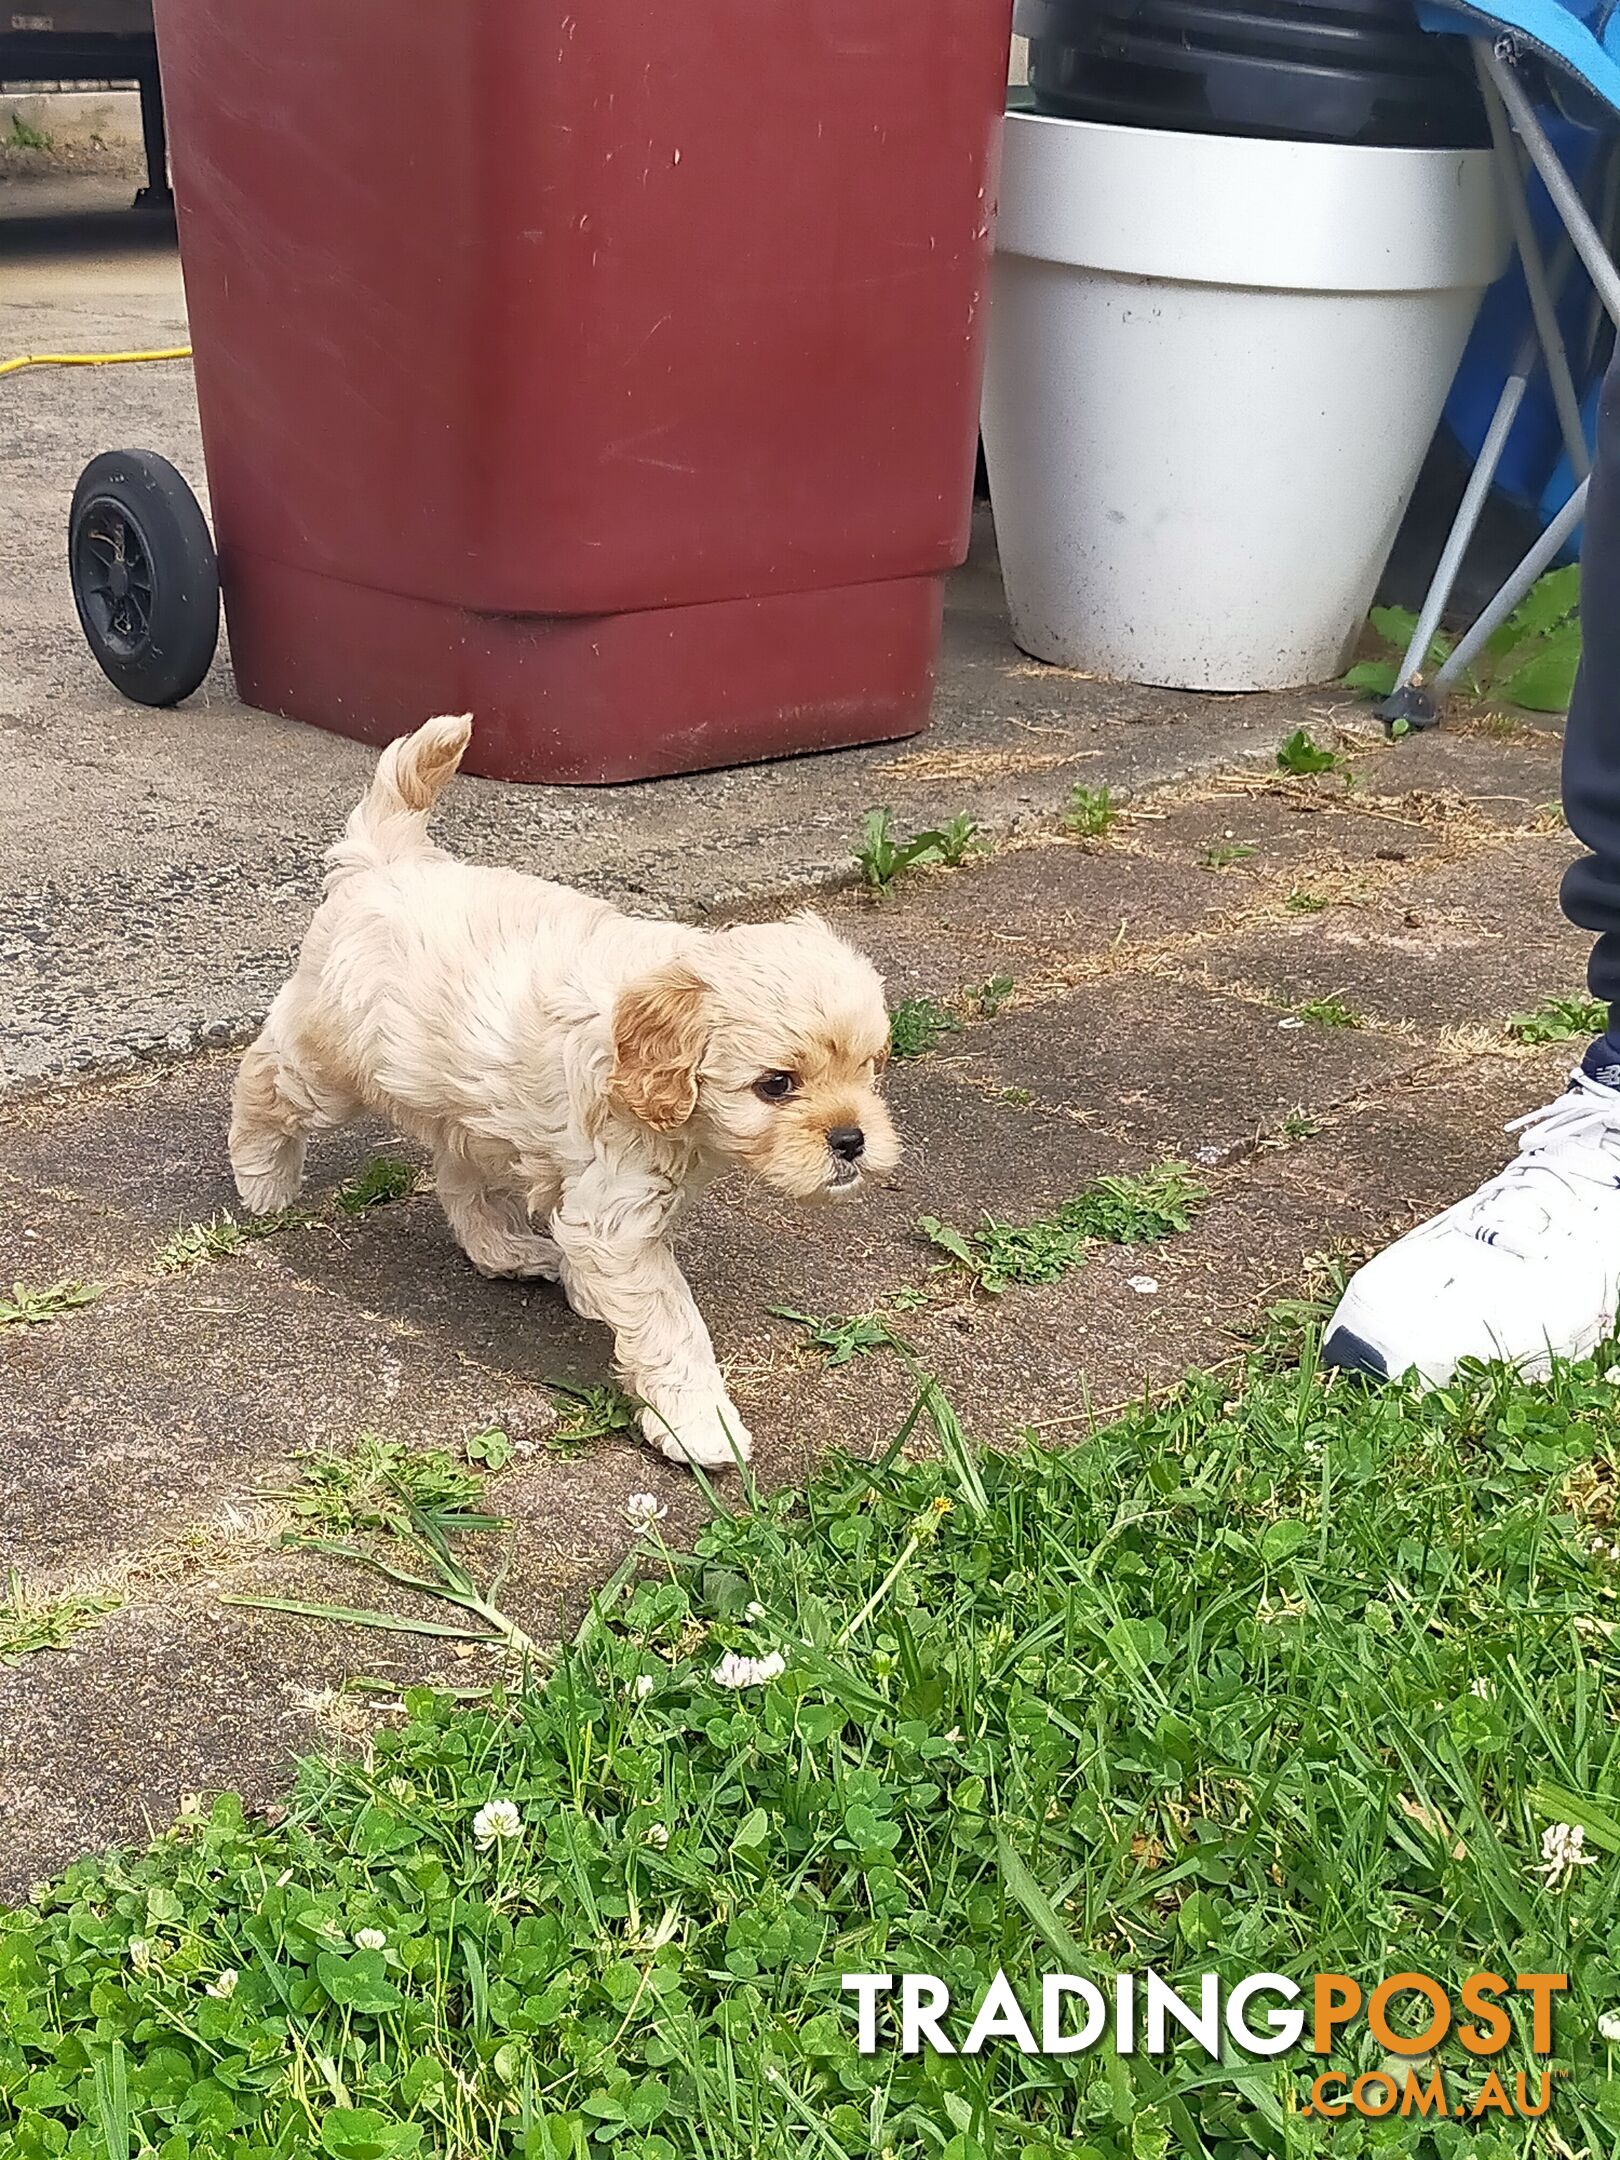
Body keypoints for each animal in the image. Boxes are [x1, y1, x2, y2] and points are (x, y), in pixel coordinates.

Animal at [228, 717, 902, 1477]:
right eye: (777, 1085)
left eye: (870, 1068)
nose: (852, 1140)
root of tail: (385, 862)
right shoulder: (619, 1214)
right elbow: (671, 1321)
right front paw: (699, 1423)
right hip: (332, 1061)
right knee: (264, 1074)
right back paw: (261, 1178)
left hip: (471, 1110)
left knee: (461, 1184)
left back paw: (511, 1252)